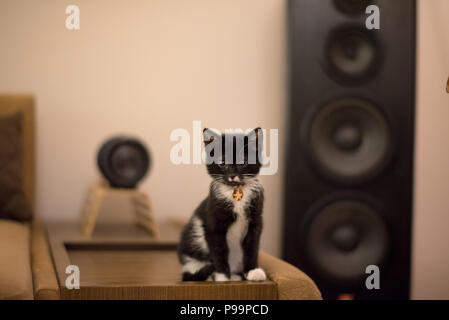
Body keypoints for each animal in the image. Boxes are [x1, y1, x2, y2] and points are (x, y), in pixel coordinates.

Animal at [176, 126, 266, 282]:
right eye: (222, 162)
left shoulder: (256, 219)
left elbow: (252, 246)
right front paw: (222, 276)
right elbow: (219, 249)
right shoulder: (213, 222)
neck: (236, 190)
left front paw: (253, 271)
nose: (232, 175)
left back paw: (235, 276)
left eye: (242, 162)